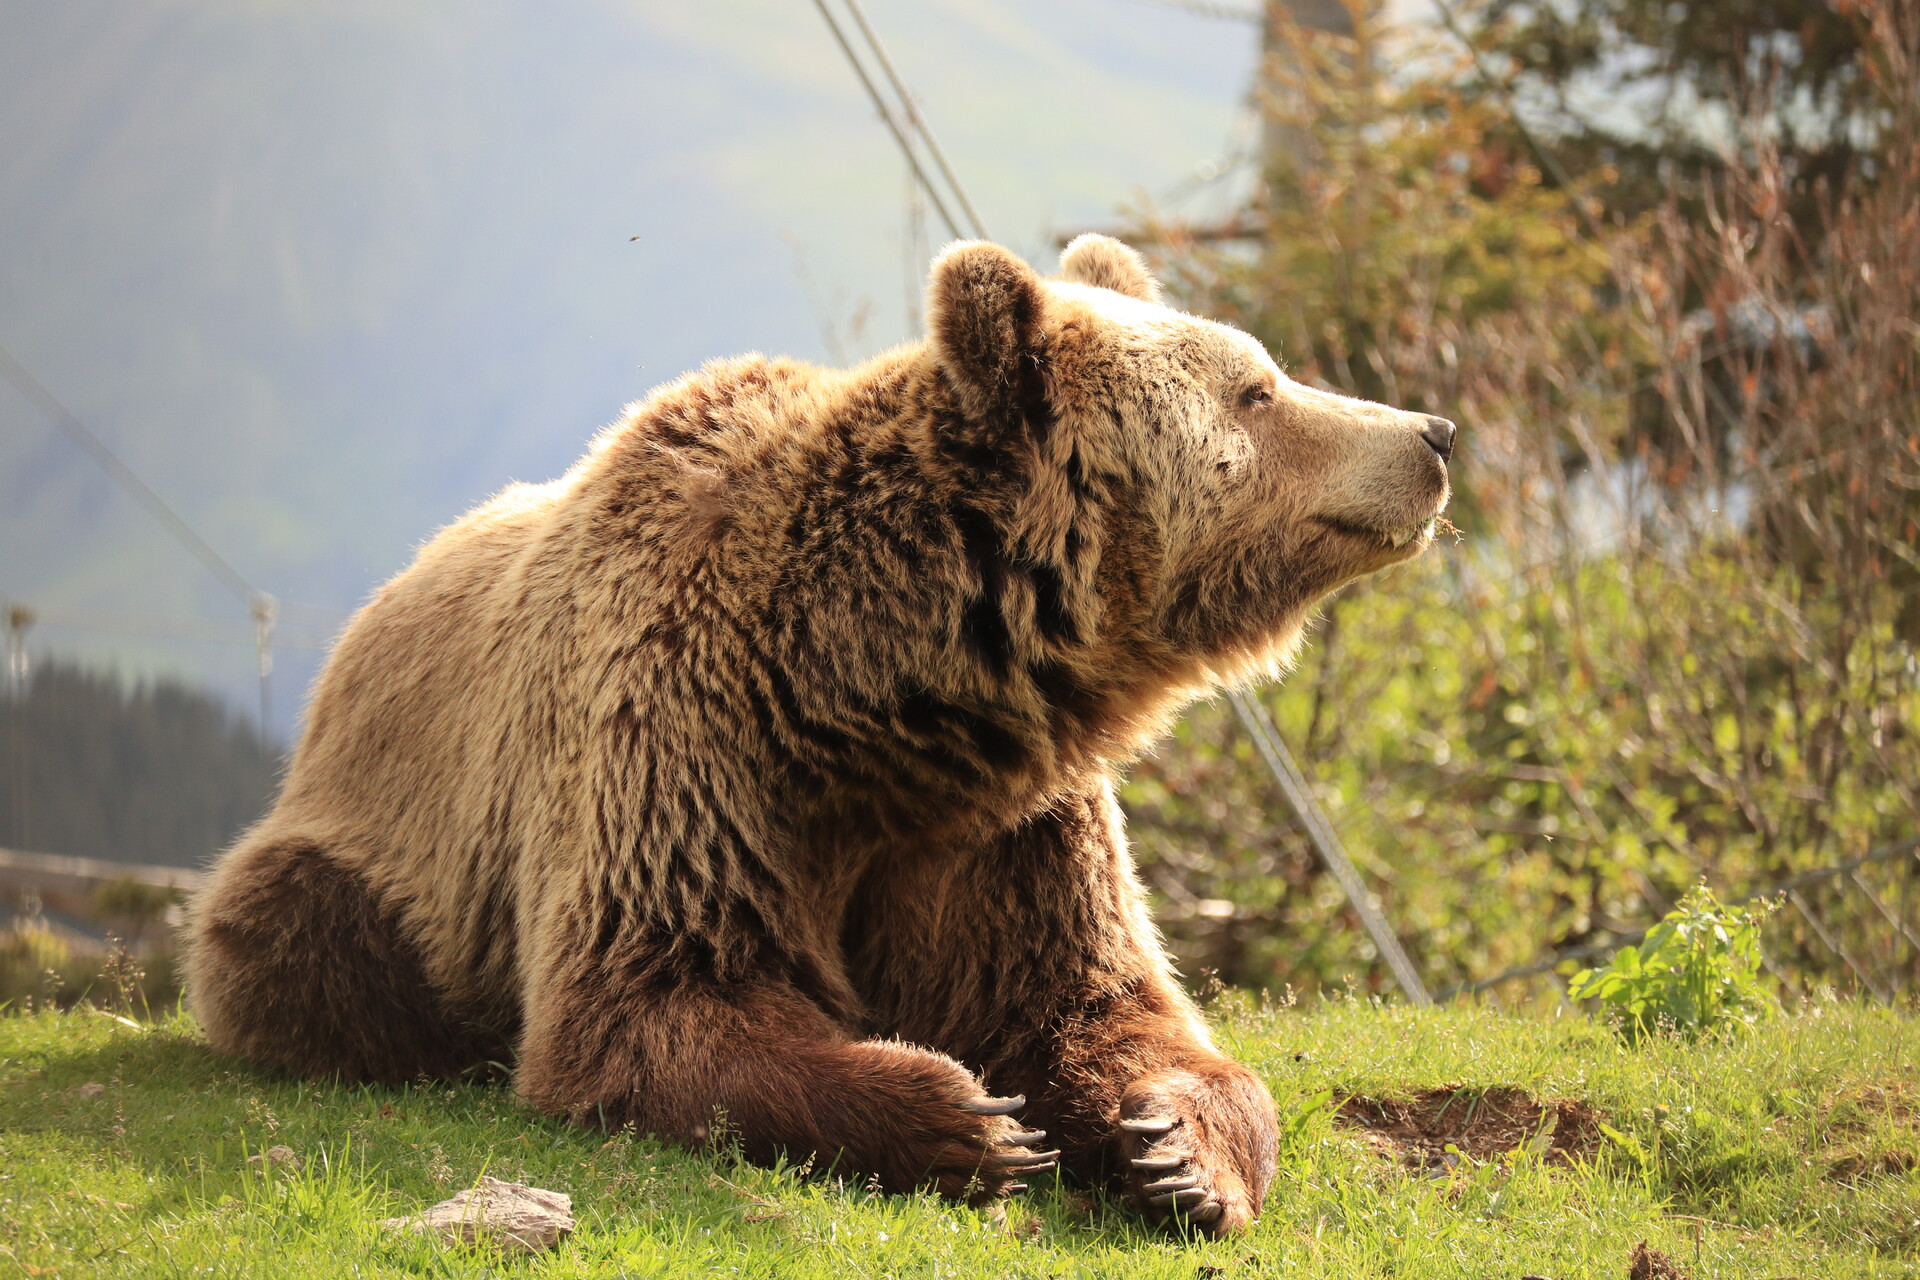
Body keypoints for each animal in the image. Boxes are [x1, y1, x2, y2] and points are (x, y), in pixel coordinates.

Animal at [183, 234, 1454, 1236]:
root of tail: (368, 617)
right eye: (1258, 389)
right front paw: (965, 1117)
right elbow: (660, 997)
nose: (1432, 432)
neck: (869, 693)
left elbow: (1101, 996)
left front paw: (1179, 1150)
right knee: (303, 937)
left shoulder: (999, 818)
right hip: (365, 850)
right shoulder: (684, 746)